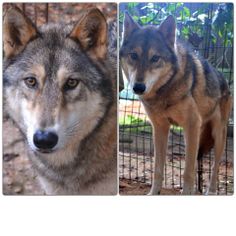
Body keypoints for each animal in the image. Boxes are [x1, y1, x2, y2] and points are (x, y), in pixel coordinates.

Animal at [121, 12, 231, 195]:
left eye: (155, 58)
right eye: (134, 56)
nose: (138, 87)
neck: (166, 90)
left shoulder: (191, 125)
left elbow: (187, 172)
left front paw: (186, 193)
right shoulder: (159, 128)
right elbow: (158, 169)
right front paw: (153, 193)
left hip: (218, 136)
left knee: (214, 167)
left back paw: (211, 191)